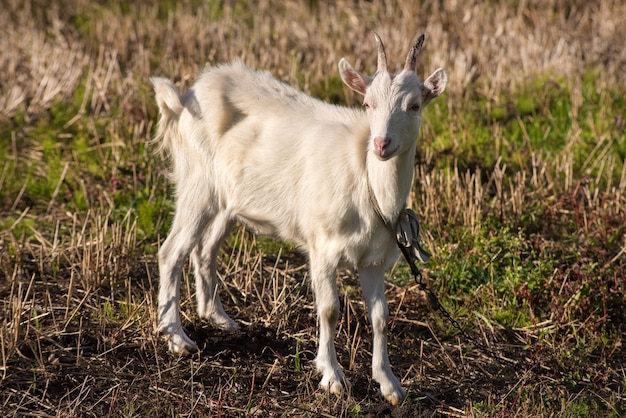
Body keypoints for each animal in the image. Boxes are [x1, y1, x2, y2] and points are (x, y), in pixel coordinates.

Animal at [151, 33, 444, 404]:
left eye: (414, 106)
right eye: (368, 104)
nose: (381, 144)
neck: (365, 178)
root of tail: (185, 98)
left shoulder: (374, 258)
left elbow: (380, 317)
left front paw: (390, 384)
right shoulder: (323, 248)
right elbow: (330, 310)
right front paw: (332, 377)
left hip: (226, 201)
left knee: (205, 249)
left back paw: (218, 317)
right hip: (197, 183)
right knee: (171, 252)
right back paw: (176, 337)